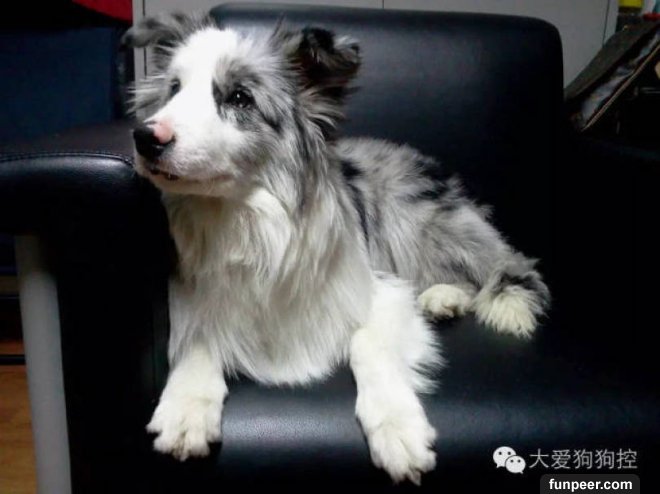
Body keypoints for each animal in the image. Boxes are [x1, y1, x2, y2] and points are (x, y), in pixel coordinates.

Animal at [122, 13, 549, 484]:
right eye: (174, 89)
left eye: (239, 98)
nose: (145, 138)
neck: (245, 220)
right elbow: (197, 335)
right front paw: (186, 407)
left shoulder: (379, 287)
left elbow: (367, 342)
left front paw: (396, 425)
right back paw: (443, 299)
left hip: (413, 217)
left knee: (497, 263)